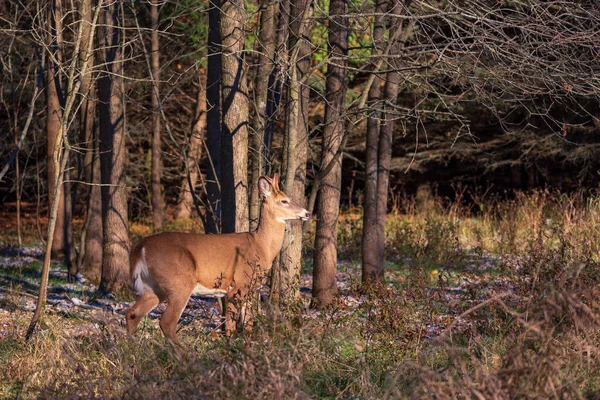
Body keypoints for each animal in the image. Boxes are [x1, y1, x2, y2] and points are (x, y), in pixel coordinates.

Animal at [127, 173, 314, 358]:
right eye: (284, 200)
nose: (307, 212)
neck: (261, 246)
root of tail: (141, 247)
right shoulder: (236, 286)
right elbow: (231, 326)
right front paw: (229, 351)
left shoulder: (248, 289)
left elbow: (247, 325)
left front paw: (247, 352)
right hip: (179, 283)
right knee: (167, 322)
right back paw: (186, 358)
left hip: (153, 288)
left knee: (132, 313)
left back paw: (131, 352)